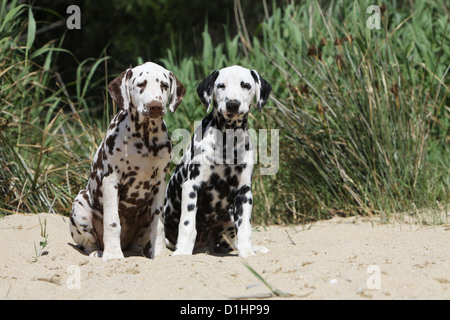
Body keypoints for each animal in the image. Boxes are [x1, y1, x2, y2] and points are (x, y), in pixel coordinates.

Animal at [69, 62, 185, 260]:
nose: (155, 106)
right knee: (88, 243)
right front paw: (113, 255)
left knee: (138, 244)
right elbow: (112, 222)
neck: (145, 138)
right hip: (80, 207)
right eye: (141, 84)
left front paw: (160, 253)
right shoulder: (111, 181)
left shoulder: (160, 183)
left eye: (164, 85)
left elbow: (158, 224)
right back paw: (98, 252)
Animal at [164, 65, 272, 258]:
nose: (232, 104)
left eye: (246, 85)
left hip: (229, 217)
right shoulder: (191, 186)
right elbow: (187, 224)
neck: (228, 141)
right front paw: (182, 252)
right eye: (221, 85)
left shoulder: (244, 192)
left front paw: (248, 252)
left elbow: (245, 228)